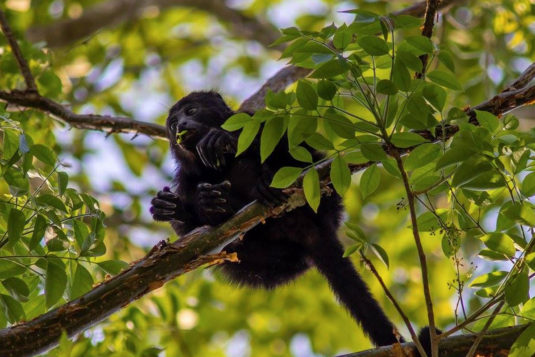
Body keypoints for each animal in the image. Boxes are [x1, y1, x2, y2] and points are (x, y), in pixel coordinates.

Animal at [152, 89, 428, 348]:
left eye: (191, 110)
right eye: (172, 124)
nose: (180, 125)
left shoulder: (251, 117)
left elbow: (289, 142)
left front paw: (224, 139)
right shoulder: (184, 178)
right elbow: (190, 242)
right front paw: (176, 207)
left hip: (325, 203)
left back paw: (264, 183)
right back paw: (216, 205)